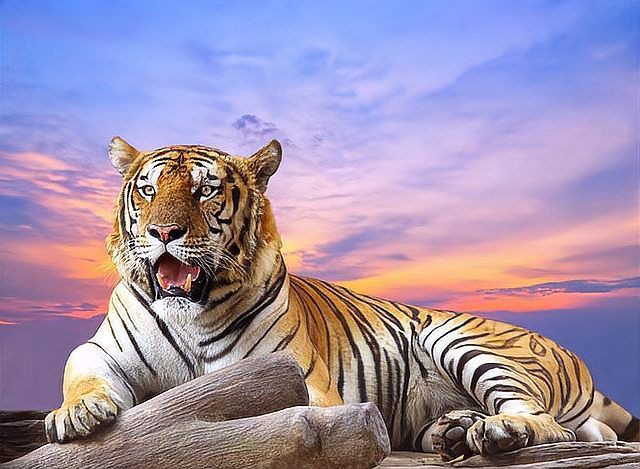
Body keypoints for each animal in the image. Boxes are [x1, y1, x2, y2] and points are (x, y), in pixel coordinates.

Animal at [45, 137, 639, 460]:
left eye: (205, 190)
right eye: (147, 190)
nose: (163, 232)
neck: (190, 311)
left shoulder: (298, 383)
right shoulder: (103, 349)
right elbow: (81, 370)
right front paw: (77, 415)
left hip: (463, 339)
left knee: (548, 423)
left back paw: (493, 432)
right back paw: (455, 432)